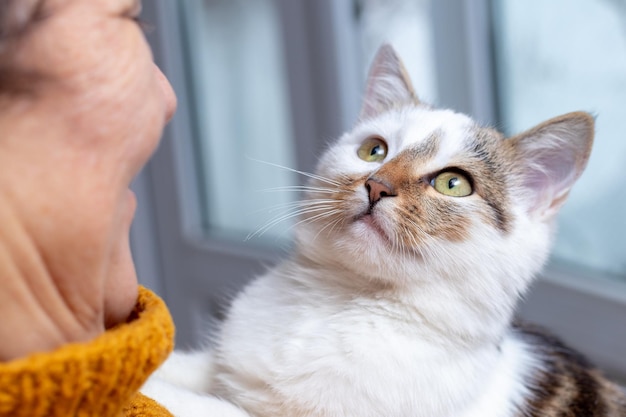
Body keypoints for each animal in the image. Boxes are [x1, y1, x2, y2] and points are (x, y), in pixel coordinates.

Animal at [141, 45, 624, 416]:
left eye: (454, 184)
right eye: (373, 150)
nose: (377, 185)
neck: (338, 303)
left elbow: (206, 407)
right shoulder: (223, 364)